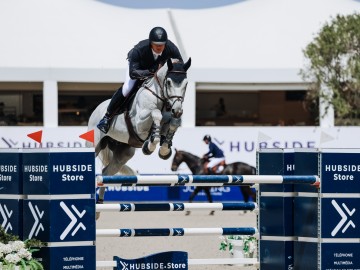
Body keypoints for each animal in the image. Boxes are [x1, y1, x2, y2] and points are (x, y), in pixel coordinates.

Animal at [88, 58, 191, 212]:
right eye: (168, 82)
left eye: (186, 83)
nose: (177, 110)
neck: (161, 97)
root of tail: (96, 110)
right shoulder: (139, 123)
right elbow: (156, 113)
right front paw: (150, 146)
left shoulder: (170, 117)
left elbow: (173, 123)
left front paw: (164, 149)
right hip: (95, 144)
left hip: (123, 154)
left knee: (106, 173)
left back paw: (99, 206)